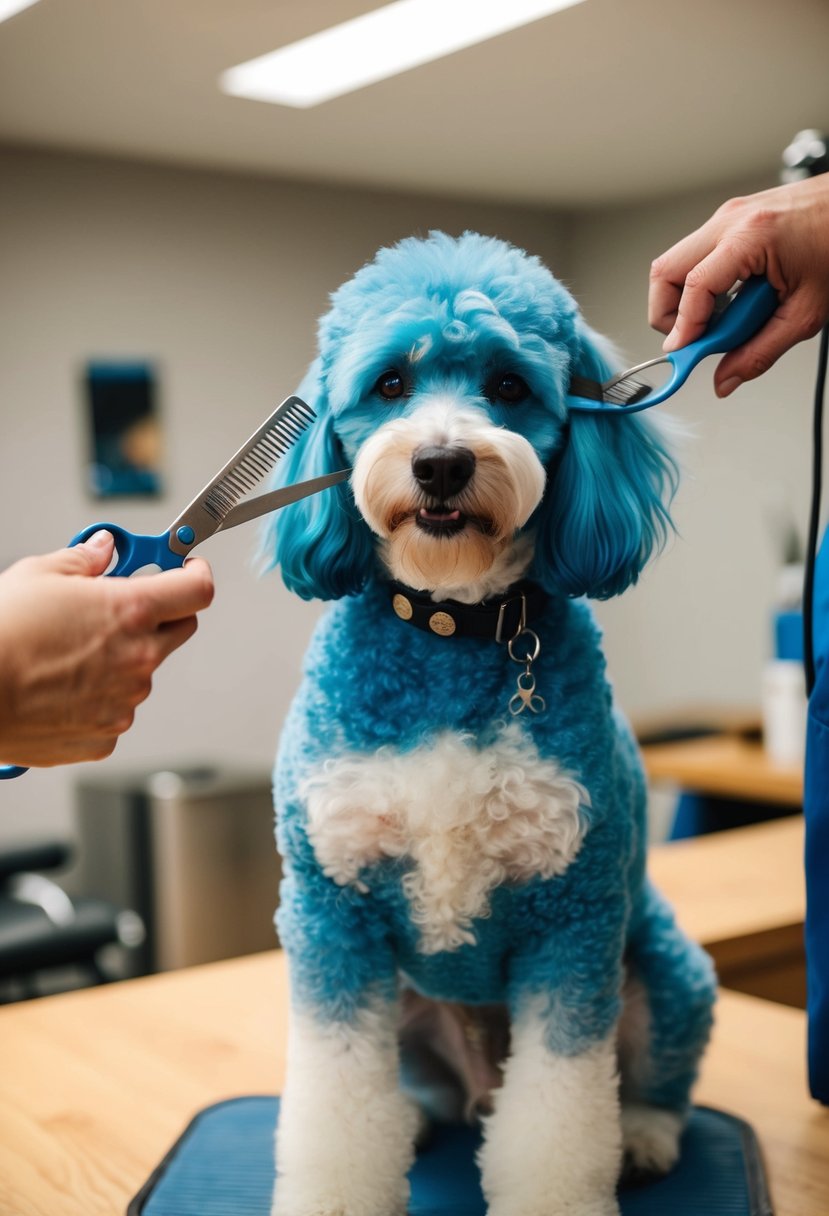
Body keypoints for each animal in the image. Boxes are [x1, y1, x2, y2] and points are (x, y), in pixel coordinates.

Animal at [262, 229, 709, 1216]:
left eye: (507, 385)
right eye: (389, 383)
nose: (441, 462)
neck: (452, 628)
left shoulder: (573, 918)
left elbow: (560, 1113)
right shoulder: (331, 911)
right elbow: (336, 1098)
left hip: (665, 968)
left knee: (656, 1078)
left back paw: (645, 1137)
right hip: (405, 1001)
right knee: (407, 1090)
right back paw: (422, 1113)